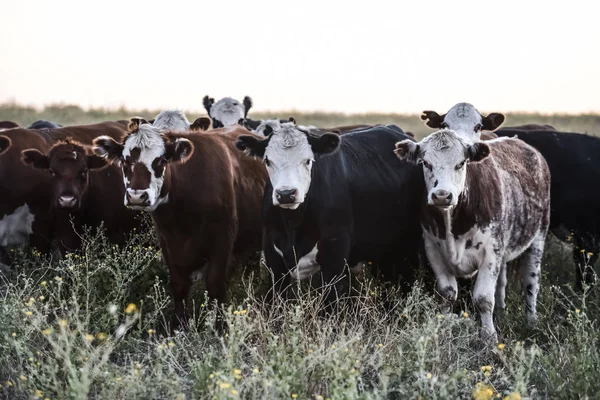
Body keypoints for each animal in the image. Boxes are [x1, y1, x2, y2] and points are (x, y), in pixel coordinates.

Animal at [92, 120, 268, 330]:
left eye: (160, 161)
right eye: (125, 161)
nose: (137, 196)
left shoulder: (222, 241)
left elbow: (215, 285)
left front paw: (218, 324)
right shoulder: (167, 242)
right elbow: (179, 285)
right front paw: (178, 324)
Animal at [232, 122, 424, 306]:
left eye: (308, 161)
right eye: (267, 160)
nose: (286, 194)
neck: (293, 224)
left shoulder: (334, 254)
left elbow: (330, 303)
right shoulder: (274, 258)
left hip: (408, 248)